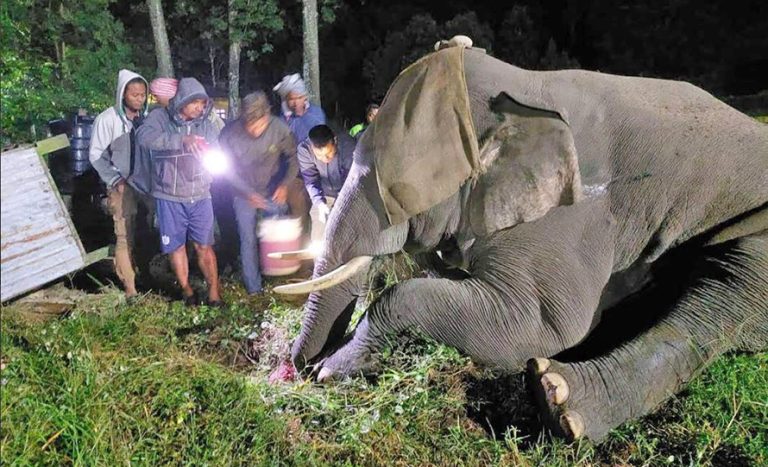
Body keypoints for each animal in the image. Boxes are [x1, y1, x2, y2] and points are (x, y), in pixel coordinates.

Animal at [276, 37, 768, 442]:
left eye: (397, 186)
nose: (294, 368)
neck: (523, 85)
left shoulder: (575, 213)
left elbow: (543, 325)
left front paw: (334, 370)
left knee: (727, 289)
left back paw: (559, 401)